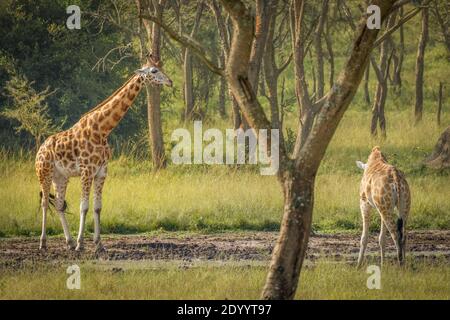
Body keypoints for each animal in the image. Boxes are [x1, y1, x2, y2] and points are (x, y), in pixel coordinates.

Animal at [34, 57, 172, 252]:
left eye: (160, 67)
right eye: (153, 71)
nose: (170, 81)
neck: (102, 130)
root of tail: (40, 150)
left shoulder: (101, 172)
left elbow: (97, 207)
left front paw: (99, 244)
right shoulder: (87, 171)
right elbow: (84, 207)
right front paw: (81, 244)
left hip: (60, 177)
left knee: (59, 204)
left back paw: (68, 242)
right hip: (43, 173)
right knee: (45, 203)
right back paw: (44, 242)